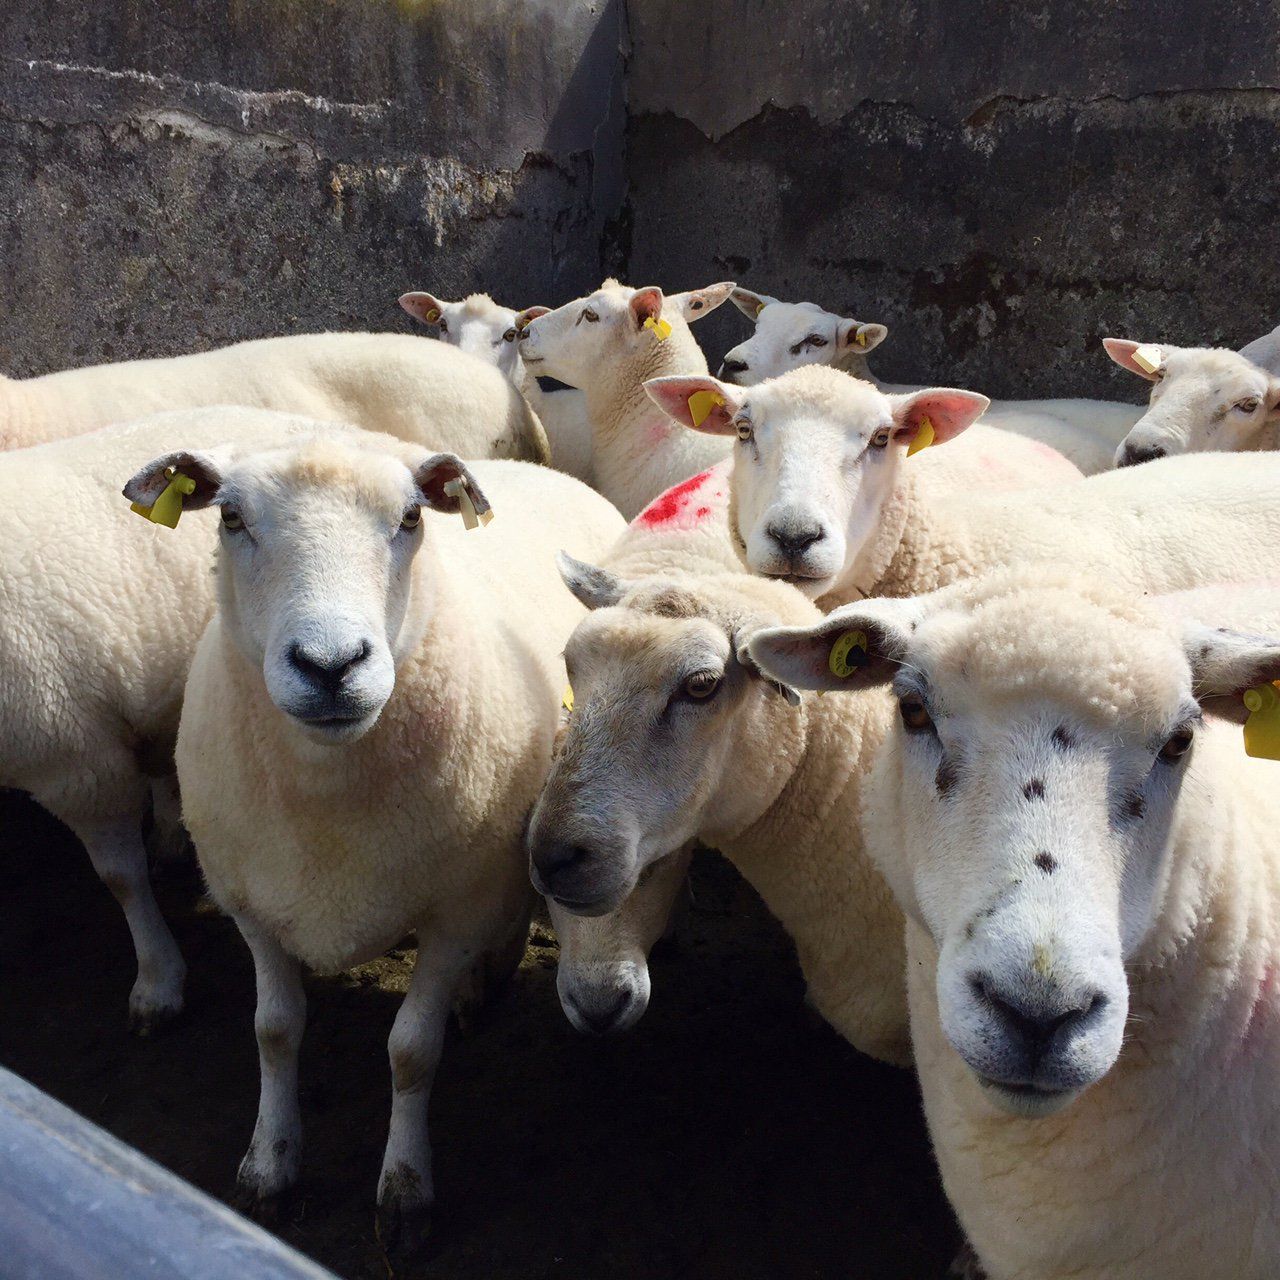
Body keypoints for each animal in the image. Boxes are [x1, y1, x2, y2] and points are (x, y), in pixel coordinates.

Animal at [151, 433, 623, 1264]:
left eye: (410, 518)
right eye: (230, 517)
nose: (330, 666)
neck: (327, 796)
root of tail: (541, 470)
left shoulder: (454, 910)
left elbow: (411, 1052)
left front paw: (404, 1194)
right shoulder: (251, 903)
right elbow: (273, 1030)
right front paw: (269, 1167)